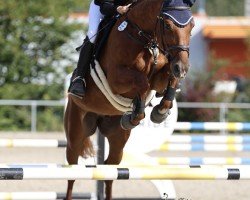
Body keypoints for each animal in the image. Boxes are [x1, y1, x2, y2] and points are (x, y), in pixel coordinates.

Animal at [63, 0, 194, 199]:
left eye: (192, 26)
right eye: (167, 25)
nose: (183, 68)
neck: (144, 39)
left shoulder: (162, 74)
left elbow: (169, 79)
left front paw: (159, 112)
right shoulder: (116, 79)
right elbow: (142, 82)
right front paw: (135, 114)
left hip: (117, 137)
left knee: (109, 169)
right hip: (76, 131)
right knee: (72, 171)